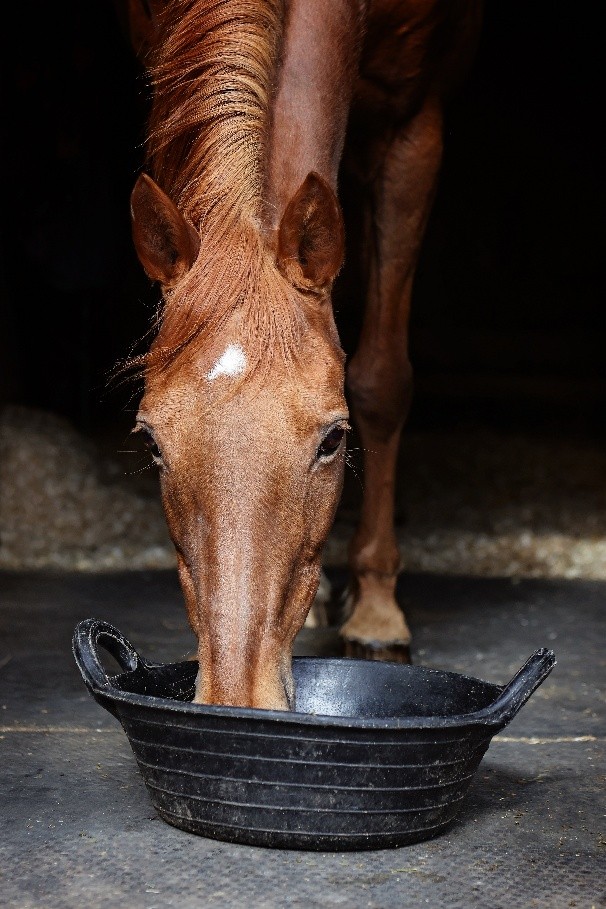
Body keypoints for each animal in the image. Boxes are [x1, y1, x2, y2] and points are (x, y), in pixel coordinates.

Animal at [123, 0, 482, 710]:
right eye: (151, 441)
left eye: (334, 440)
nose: (237, 703)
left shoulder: (411, 124)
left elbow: (380, 380)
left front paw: (377, 611)